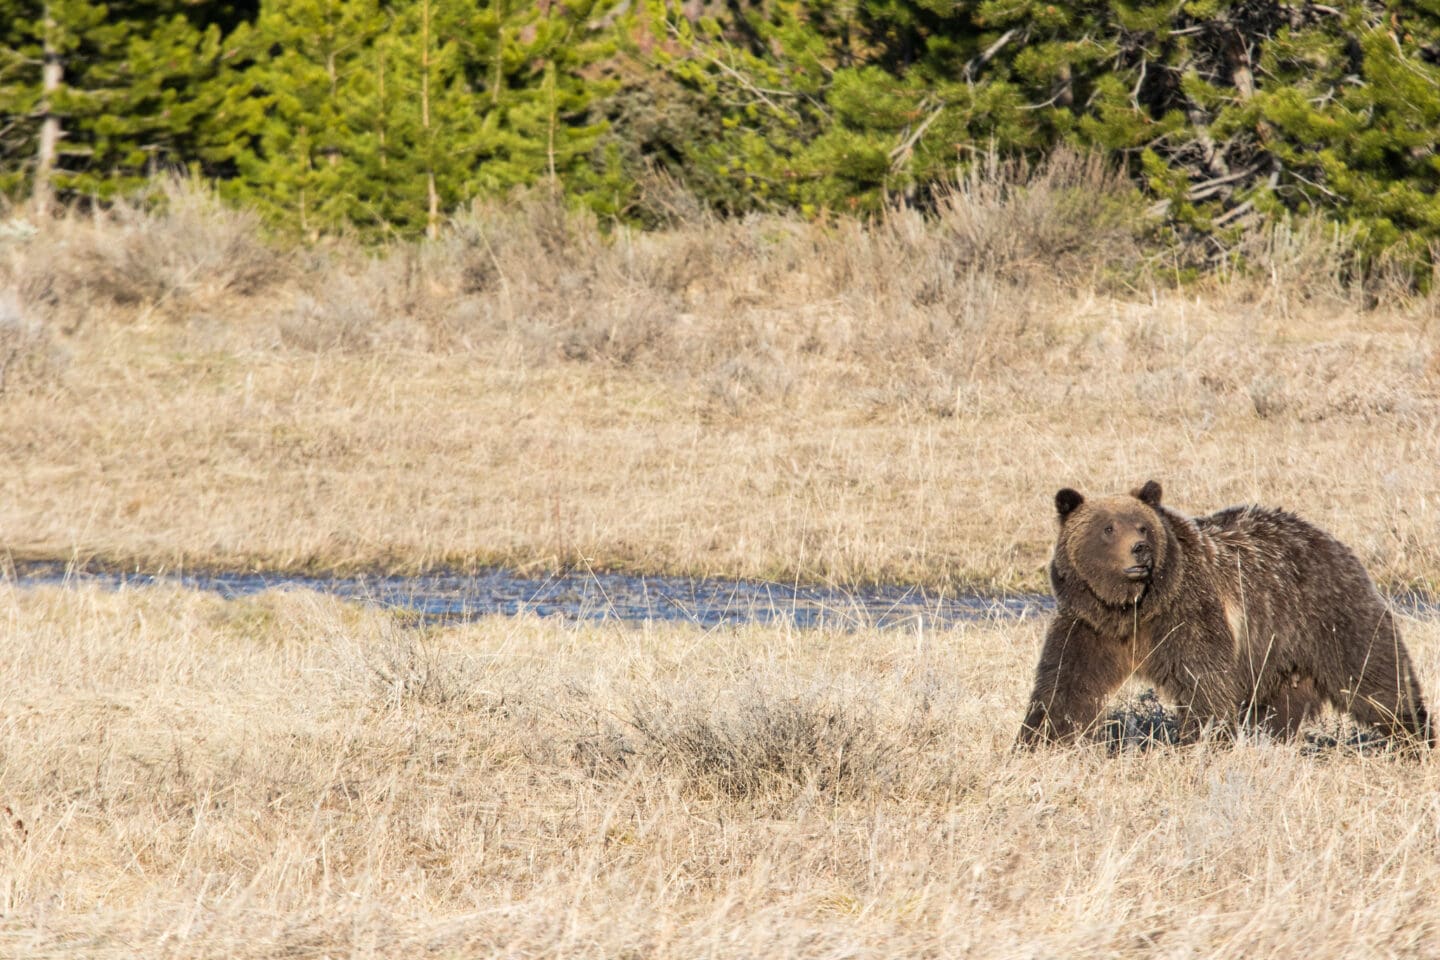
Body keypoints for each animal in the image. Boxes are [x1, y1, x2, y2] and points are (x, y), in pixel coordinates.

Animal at [1015, 480, 1430, 748]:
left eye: (1143, 526)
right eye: (1108, 528)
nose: (1139, 550)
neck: (1131, 608)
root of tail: (1331, 540)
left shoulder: (1187, 612)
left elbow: (1205, 680)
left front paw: (1202, 740)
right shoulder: (1089, 625)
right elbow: (1066, 685)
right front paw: (1038, 738)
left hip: (1326, 615)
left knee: (1375, 677)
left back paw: (1414, 734)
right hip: (1279, 649)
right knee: (1281, 706)